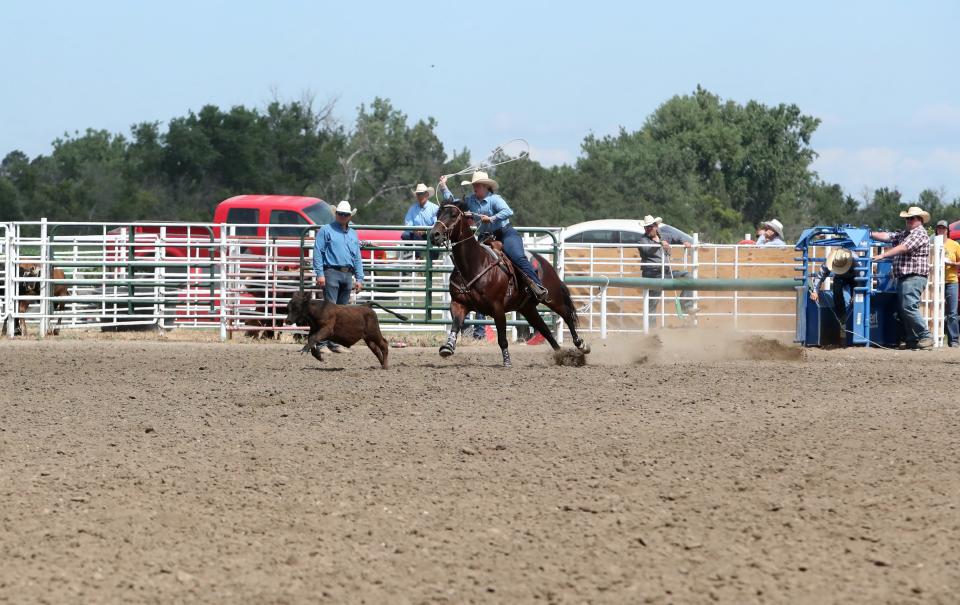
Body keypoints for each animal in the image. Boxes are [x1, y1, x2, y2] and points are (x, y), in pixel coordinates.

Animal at [432, 199, 588, 368]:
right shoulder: (459, 304)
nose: (434, 234)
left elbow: (502, 338)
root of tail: (545, 263)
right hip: (527, 308)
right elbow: (455, 324)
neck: (474, 265)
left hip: (553, 298)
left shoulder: (497, 308)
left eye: (454, 215)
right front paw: (447, 347)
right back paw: (561, 355)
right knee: (545, 330)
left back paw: (581, 345)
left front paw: (507, 361)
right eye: (438, 214)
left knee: (567, 315)